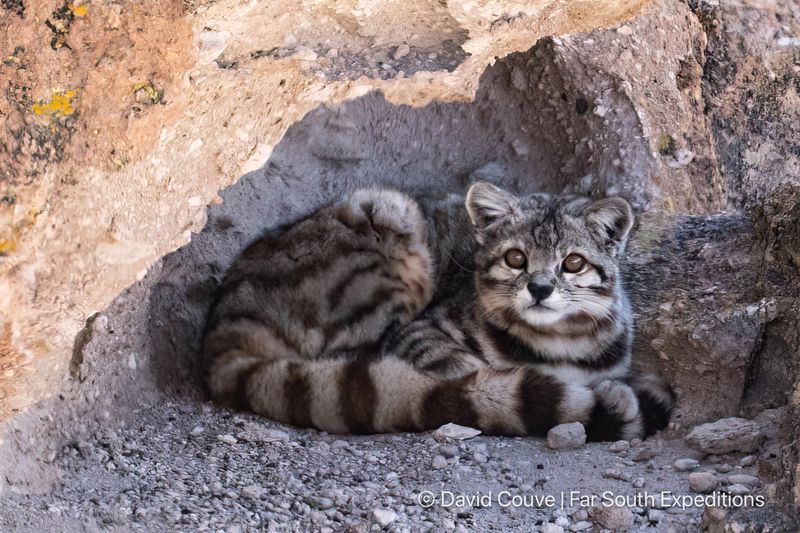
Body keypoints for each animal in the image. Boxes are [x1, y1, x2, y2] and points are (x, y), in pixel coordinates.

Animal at [202, 181, 676, 438]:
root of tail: (230, 311)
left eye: (573, 262)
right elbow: (465, 369)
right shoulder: (420, 330)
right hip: (388, 221)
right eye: (515, 258)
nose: (540, 288)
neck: (559, 343)